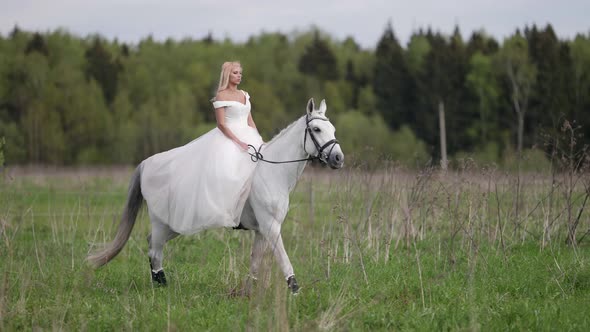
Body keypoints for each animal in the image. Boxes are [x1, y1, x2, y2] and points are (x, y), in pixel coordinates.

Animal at [89, 98, 344, 294]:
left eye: (333, 130)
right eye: (317, 130)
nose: (338, 159)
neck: (273, 172)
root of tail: (146, 164)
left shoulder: (262, 230)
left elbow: (255, 261)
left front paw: (247, 292)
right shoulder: (271, 227)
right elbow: (283, 257)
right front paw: (295, 289)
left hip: (174, 224)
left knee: (152, 243)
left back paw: (160, 283)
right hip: (163, 221)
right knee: (154, 248)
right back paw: (161, 285)